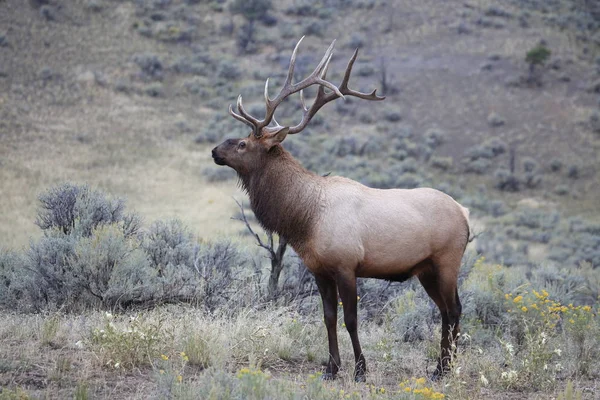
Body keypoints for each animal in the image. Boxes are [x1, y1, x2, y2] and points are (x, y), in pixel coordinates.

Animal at [213, 37, 472, 382]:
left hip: (447, 260)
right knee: (445, 311)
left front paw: (360, 369)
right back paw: (440, 367)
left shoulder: (347, 265)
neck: (304, 220)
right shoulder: (319, 269)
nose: (214, 150)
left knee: (454, 309)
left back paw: (444, 369)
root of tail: (466, 215)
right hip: (426, 269)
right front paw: (331, 368)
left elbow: (351, 319)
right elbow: (328, 318)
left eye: (242, 144)